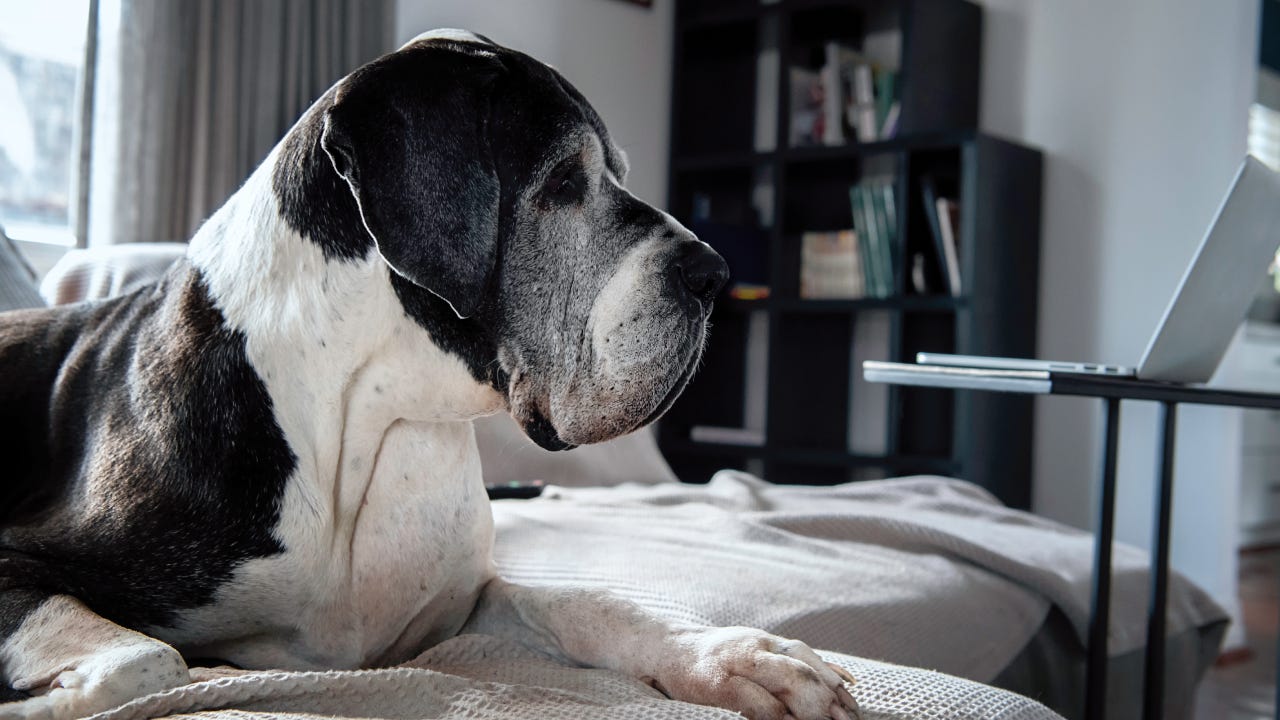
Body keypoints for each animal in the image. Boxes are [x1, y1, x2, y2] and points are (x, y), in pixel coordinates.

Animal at [0, 29, 860, 717]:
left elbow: (590, 600)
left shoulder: (461, 602)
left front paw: (737, 657)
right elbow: (149, 661)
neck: (375, 419)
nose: (714, 275)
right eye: (562, 183)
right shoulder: (24, 560)